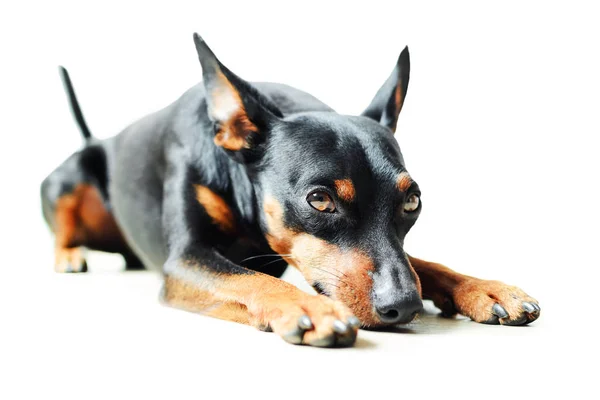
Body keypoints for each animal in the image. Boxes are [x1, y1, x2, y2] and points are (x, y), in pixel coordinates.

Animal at [39, 34, 540, 346]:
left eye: (412, 202)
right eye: (319, 200)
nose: (404, 306)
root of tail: (97, 140)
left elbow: (422, 264)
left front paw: (486, 289)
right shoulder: (186, 259)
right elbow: (251, 277)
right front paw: (311, 309)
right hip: (65, 180)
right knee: (63, 225)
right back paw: (69, 255)